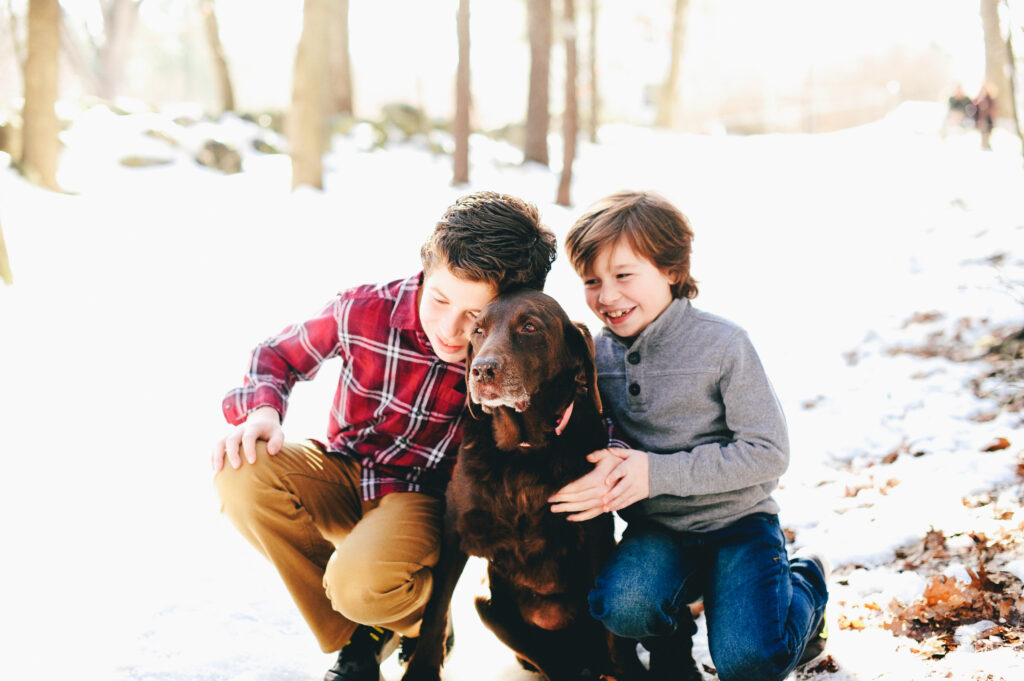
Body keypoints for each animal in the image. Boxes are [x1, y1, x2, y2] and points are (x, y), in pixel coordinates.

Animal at [399, 288, 638, 679]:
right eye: (477, 330)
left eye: (529, 327)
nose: (481, 370)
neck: (524, 452)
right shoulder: (457, 529)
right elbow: (435, 609)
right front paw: (421, 669)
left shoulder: (594, 533)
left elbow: (612, 629)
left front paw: (625, 668)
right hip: (485, 599)